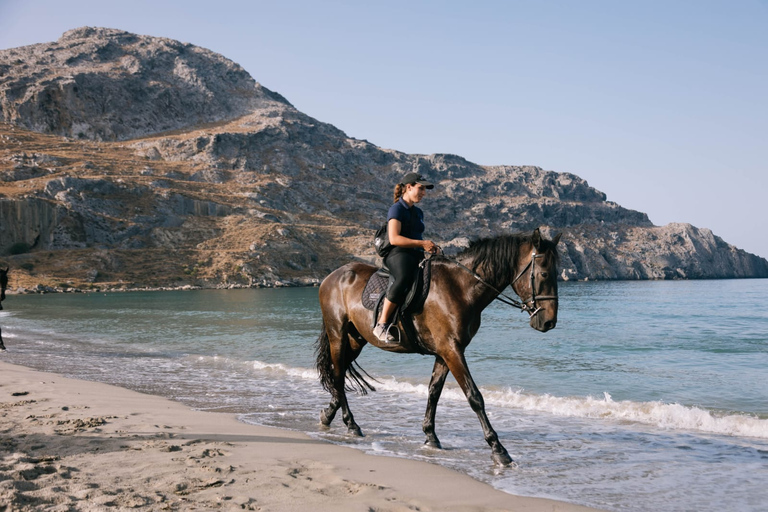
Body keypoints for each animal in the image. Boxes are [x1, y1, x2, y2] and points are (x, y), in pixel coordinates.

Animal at [316, 228, 560, 464]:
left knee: (339, 373)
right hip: (337, 334)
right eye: (544, 274)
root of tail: (332, 276)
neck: (460, 288)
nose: (549, 322)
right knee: (338, 374)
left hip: (356, 339)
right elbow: (474, 397)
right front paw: (498, 449)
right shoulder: (452, 350)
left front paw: (430, 436)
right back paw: (350, 423)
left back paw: (329, 414)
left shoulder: (445, 352)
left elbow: (434, 391)